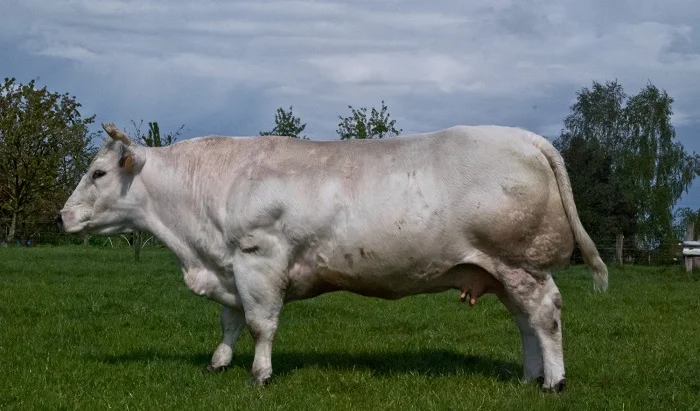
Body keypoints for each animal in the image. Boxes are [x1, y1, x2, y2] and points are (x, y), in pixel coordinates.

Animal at [58, 122, 608, 392]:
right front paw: (219, 363)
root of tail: (526, 137)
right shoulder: (229, 267)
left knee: (545, 316)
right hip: (504, 271)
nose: (62, 217)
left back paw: (554, 382)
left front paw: (260, 375)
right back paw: (529, 376)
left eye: (99, 173)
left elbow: (260, 324)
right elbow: (230, 322)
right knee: (525, 323)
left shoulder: (258, 259)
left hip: (523, 264)